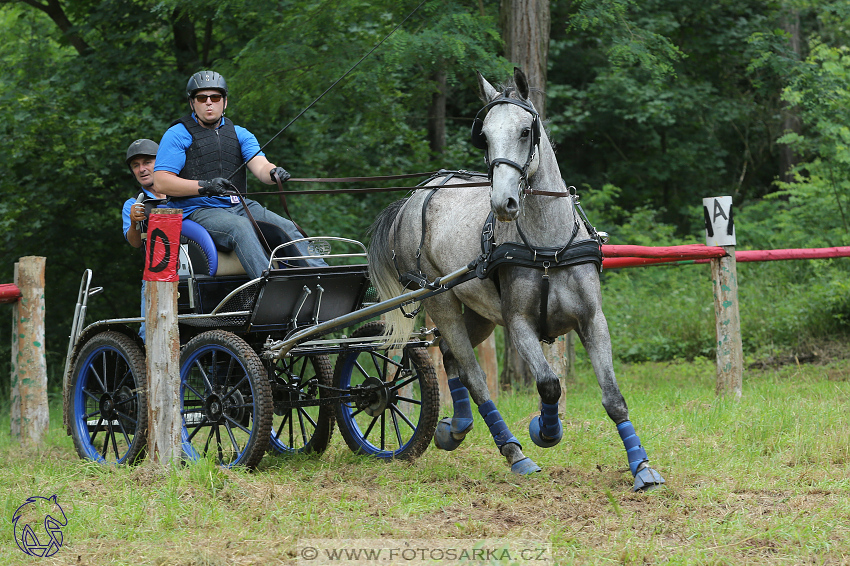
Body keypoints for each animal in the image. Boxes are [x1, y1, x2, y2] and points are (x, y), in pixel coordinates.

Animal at [366, 67, 664, 492]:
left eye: (526, 131)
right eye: (486, 136)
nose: (502, 203)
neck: (548, 247)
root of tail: (413, 197)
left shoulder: (593, 320)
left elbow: (613, 396)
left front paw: (641, 466)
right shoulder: (519, 324)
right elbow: (549, 384)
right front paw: (545, 429)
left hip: (479, 314)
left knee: (451, 358)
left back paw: (454, 429)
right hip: (441, 301)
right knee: (474, 376)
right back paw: (514, 452)